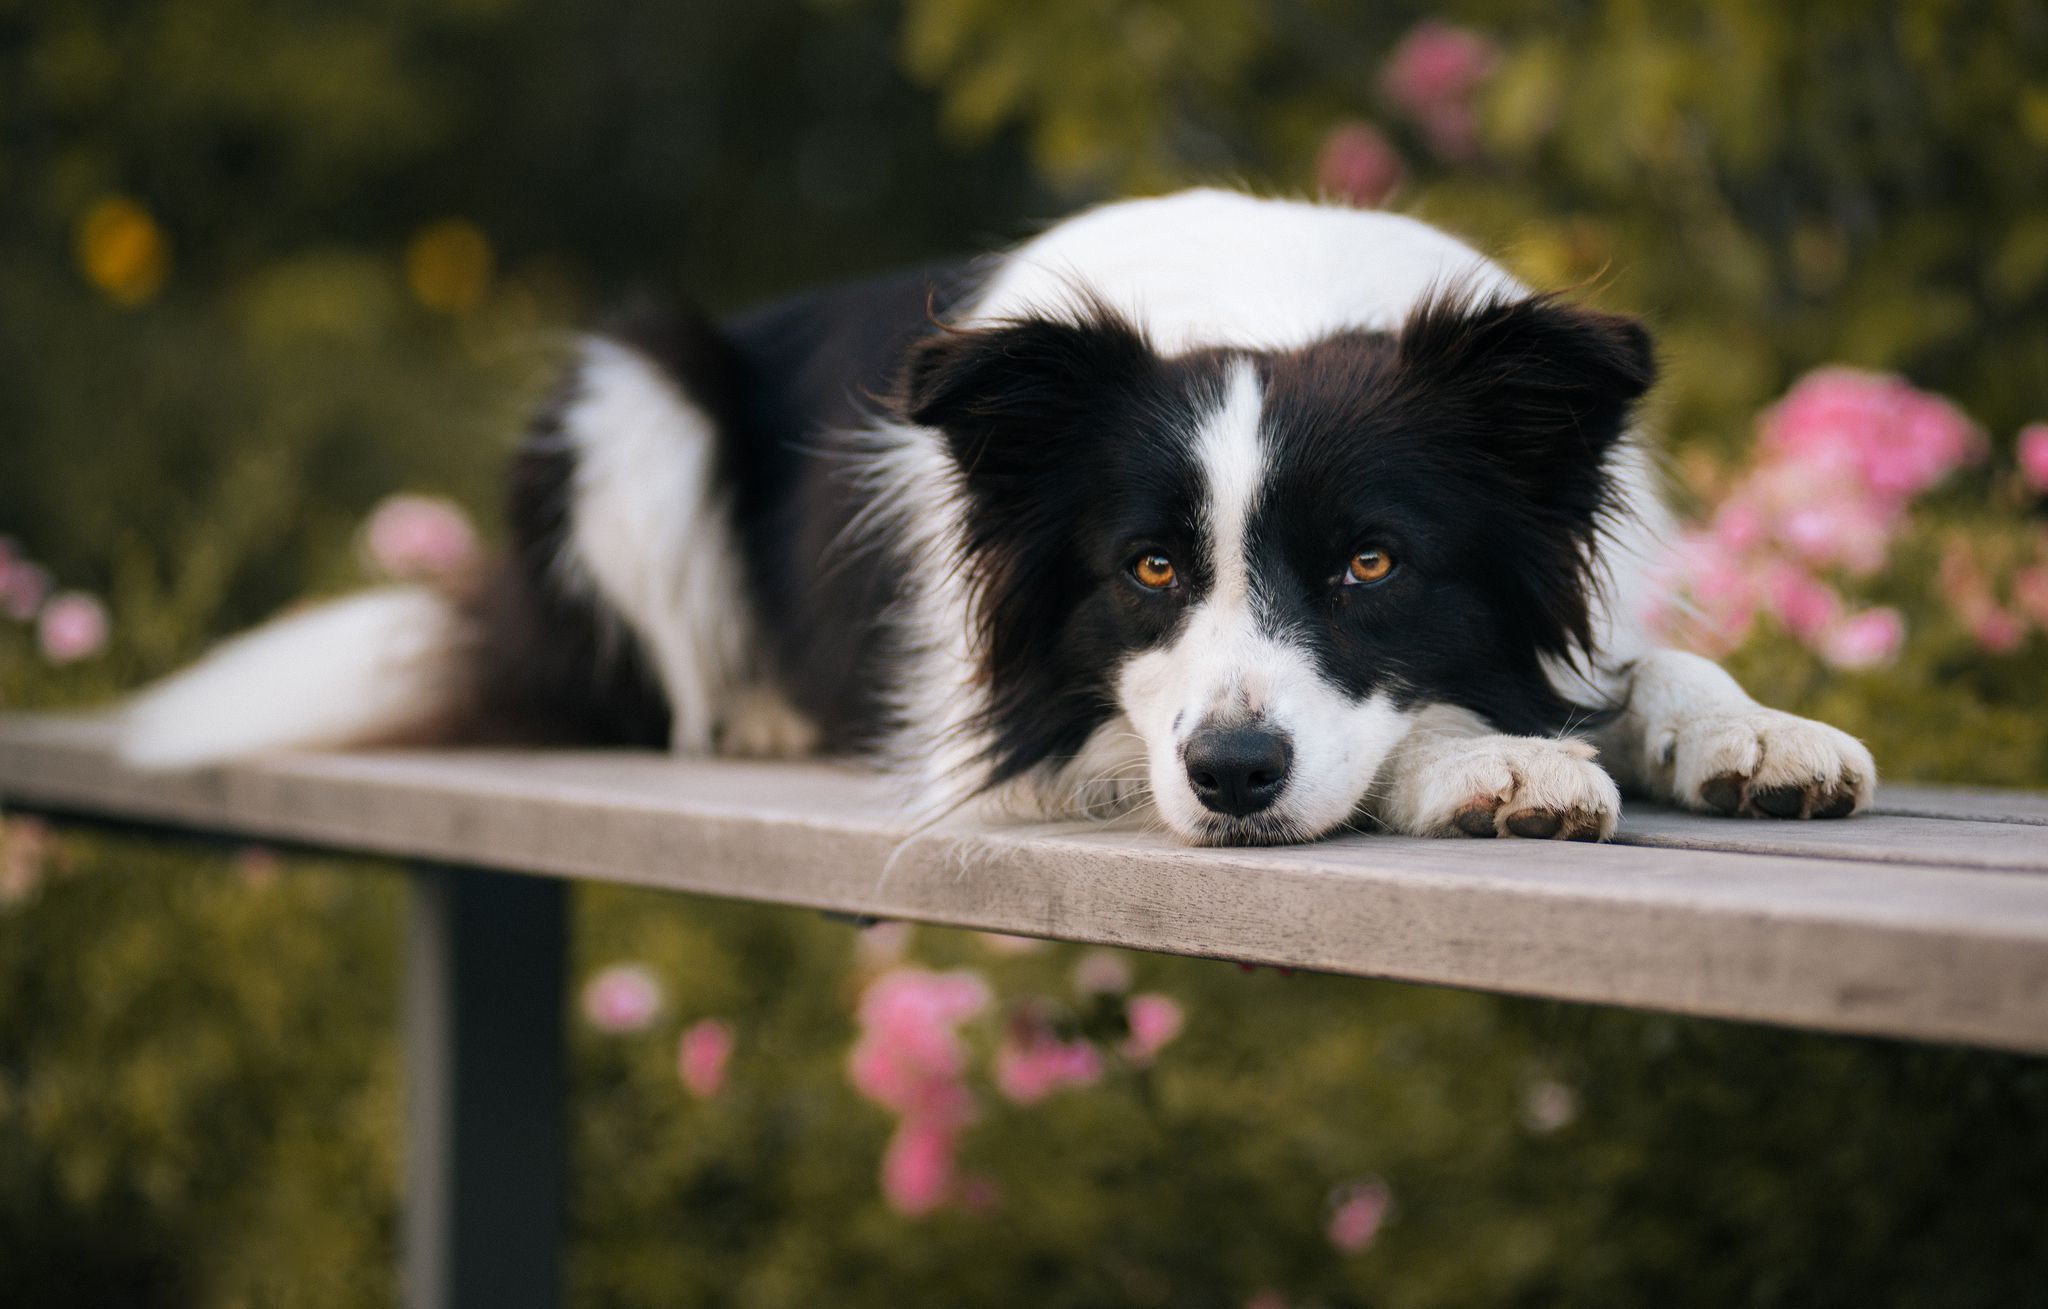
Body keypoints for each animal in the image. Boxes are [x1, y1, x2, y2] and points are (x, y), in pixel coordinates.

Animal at [119, 189, 1875, 852]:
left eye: (1373, 564)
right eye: (1147, 567)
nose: (1232, 777)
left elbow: (1640, 668)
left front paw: (1751, 730)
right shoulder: (1030, 731)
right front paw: (1488, 760)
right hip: (634, 404)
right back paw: (763, 719)